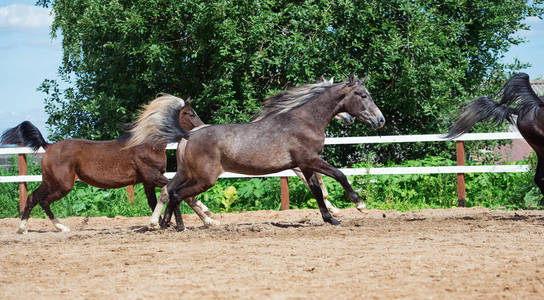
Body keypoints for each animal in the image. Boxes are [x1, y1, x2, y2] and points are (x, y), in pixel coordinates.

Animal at [1, 95, 203, 233]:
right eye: (190, 113)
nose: (202, 127)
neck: (146, 144)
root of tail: (48, 146)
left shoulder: (147, 182)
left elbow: (155, 201)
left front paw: (162, 224)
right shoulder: (153, 177)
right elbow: (176, 194)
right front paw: (188, 222)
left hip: (51, 182)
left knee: (33, 198)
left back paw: (32, 228)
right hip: (61, 185)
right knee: (42, 200)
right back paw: (52, 227)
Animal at [151, 74, 384, 230]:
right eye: (363, 95)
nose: (380, 120)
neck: (306, 121)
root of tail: (187, 136)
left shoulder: (305, 165)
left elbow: (317, 191)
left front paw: (331, 219)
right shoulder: (310, 159)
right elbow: (340, 175)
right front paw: (360, 204)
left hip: (188, 174)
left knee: (171, 191)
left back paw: (168, 224)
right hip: (204, 179)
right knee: (177, 194)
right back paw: (173, 224)